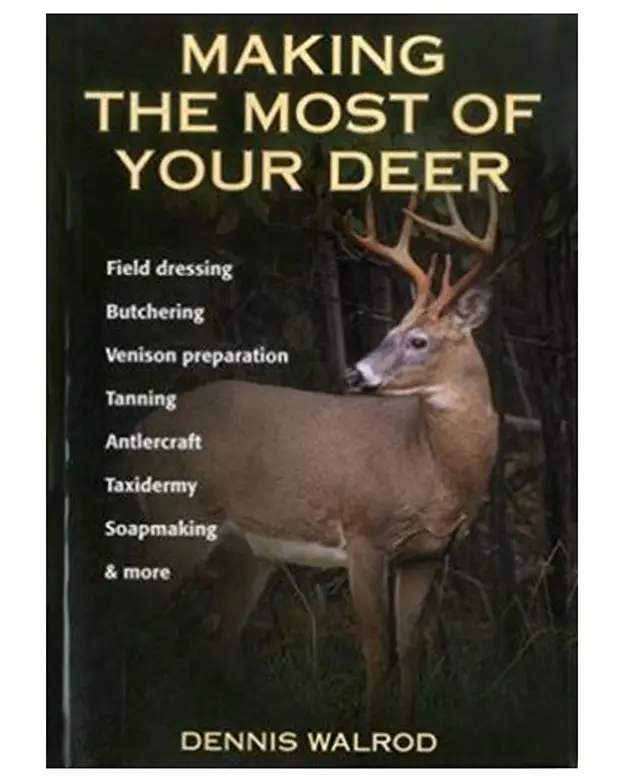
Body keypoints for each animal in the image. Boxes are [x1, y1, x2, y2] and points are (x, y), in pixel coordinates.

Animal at [122, 186, 500, 723]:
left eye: (418, 339)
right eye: (389, 332)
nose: (353, 374)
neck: (432, 467)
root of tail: (139, 431)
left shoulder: (426, 554)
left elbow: (411, 650)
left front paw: (407, 728)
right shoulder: (364, 535)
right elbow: (376, 650)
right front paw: (370, 727)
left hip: (250, 548)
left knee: (220, 632)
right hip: (178, 518)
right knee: (135, 610)